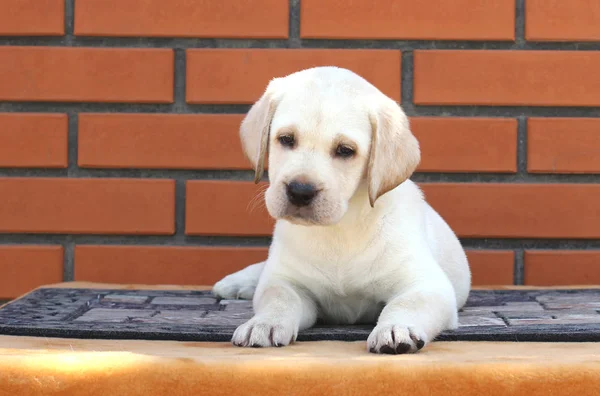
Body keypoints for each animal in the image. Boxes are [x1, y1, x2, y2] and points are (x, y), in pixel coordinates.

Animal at [213, 66, 472, 354]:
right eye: (286, 139)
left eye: (345, 150)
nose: (300, 191)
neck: (340, 229)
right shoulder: (288, 281)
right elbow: (278, 297)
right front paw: (264, 323)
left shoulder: (427, 284)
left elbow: (405, 303)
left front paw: (396, 328)